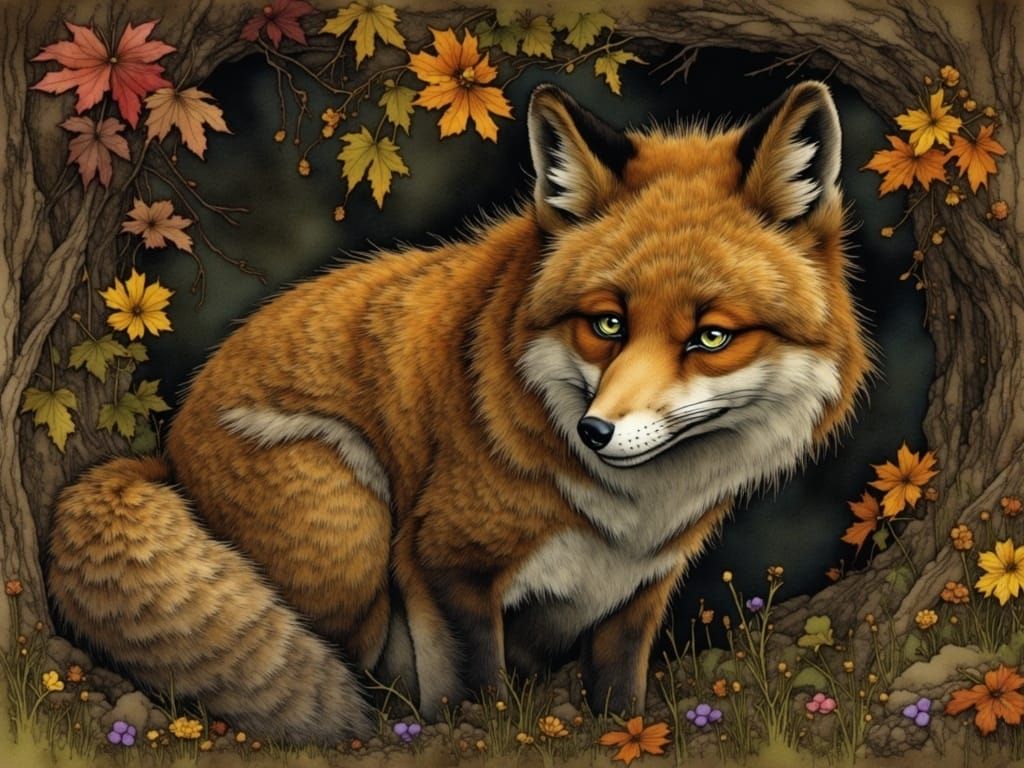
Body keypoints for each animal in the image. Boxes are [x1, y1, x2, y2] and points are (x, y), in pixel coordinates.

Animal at [48, 80, 871, 743]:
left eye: (711, 337)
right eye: (607, 324)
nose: (595, 432)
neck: (633, 518)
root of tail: (163, 455)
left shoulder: (640, 594)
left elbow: (619, 700)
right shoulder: (443, 564)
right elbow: (479, 696)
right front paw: (489, 733)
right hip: (352, 523)